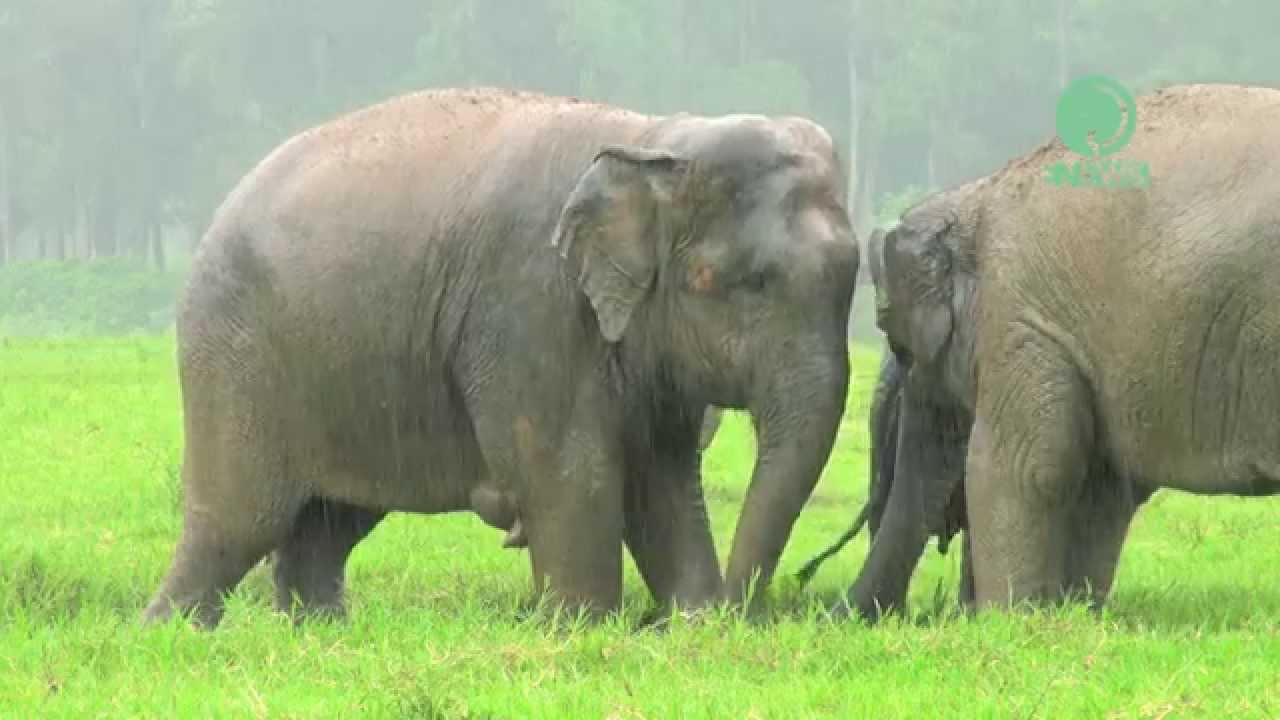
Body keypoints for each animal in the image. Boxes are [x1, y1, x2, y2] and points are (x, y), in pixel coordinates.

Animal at [142, 87, 859, 629]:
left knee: (328, 525)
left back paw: (320, 633)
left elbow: (663, 480)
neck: (655, 137)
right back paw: (174, 633)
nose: (738, 609)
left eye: (855, 275)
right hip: (237, 356)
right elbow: (572, 472)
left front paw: (689, 621)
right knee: (240, 520)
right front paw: (582, 629)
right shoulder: (527, 305)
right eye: (741, 282)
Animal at [869, 83, 1280, 614]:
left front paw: (1009, 619)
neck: (977, 194)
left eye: (899, 344)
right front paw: (1068, 613)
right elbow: (1101, 486)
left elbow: (1020, 468)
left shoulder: (1022, 314)